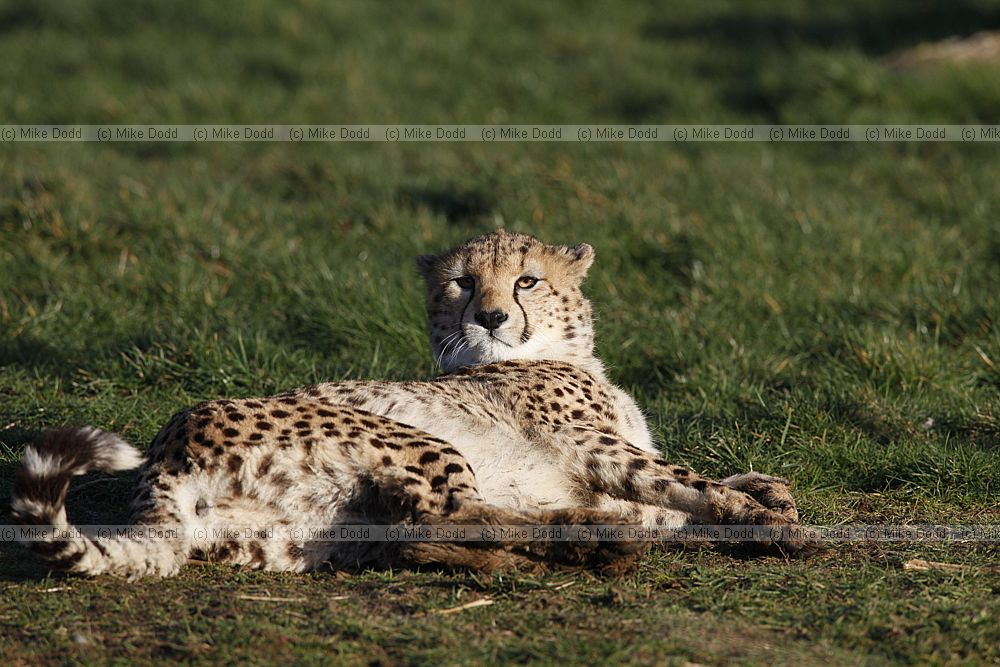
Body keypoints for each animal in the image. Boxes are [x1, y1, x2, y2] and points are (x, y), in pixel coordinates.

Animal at [12, 230, 814, 578]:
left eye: (525, 280)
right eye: (461, 283)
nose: (489, 316)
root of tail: (163, 454)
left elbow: (685, 493)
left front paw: (764, 493)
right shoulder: (596, 447)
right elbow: (684, 480)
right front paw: (768, 515)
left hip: (307, 535)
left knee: (417, 537)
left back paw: (585, 540)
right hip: (406, 435)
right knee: (447, 516)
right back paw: (590, 535)